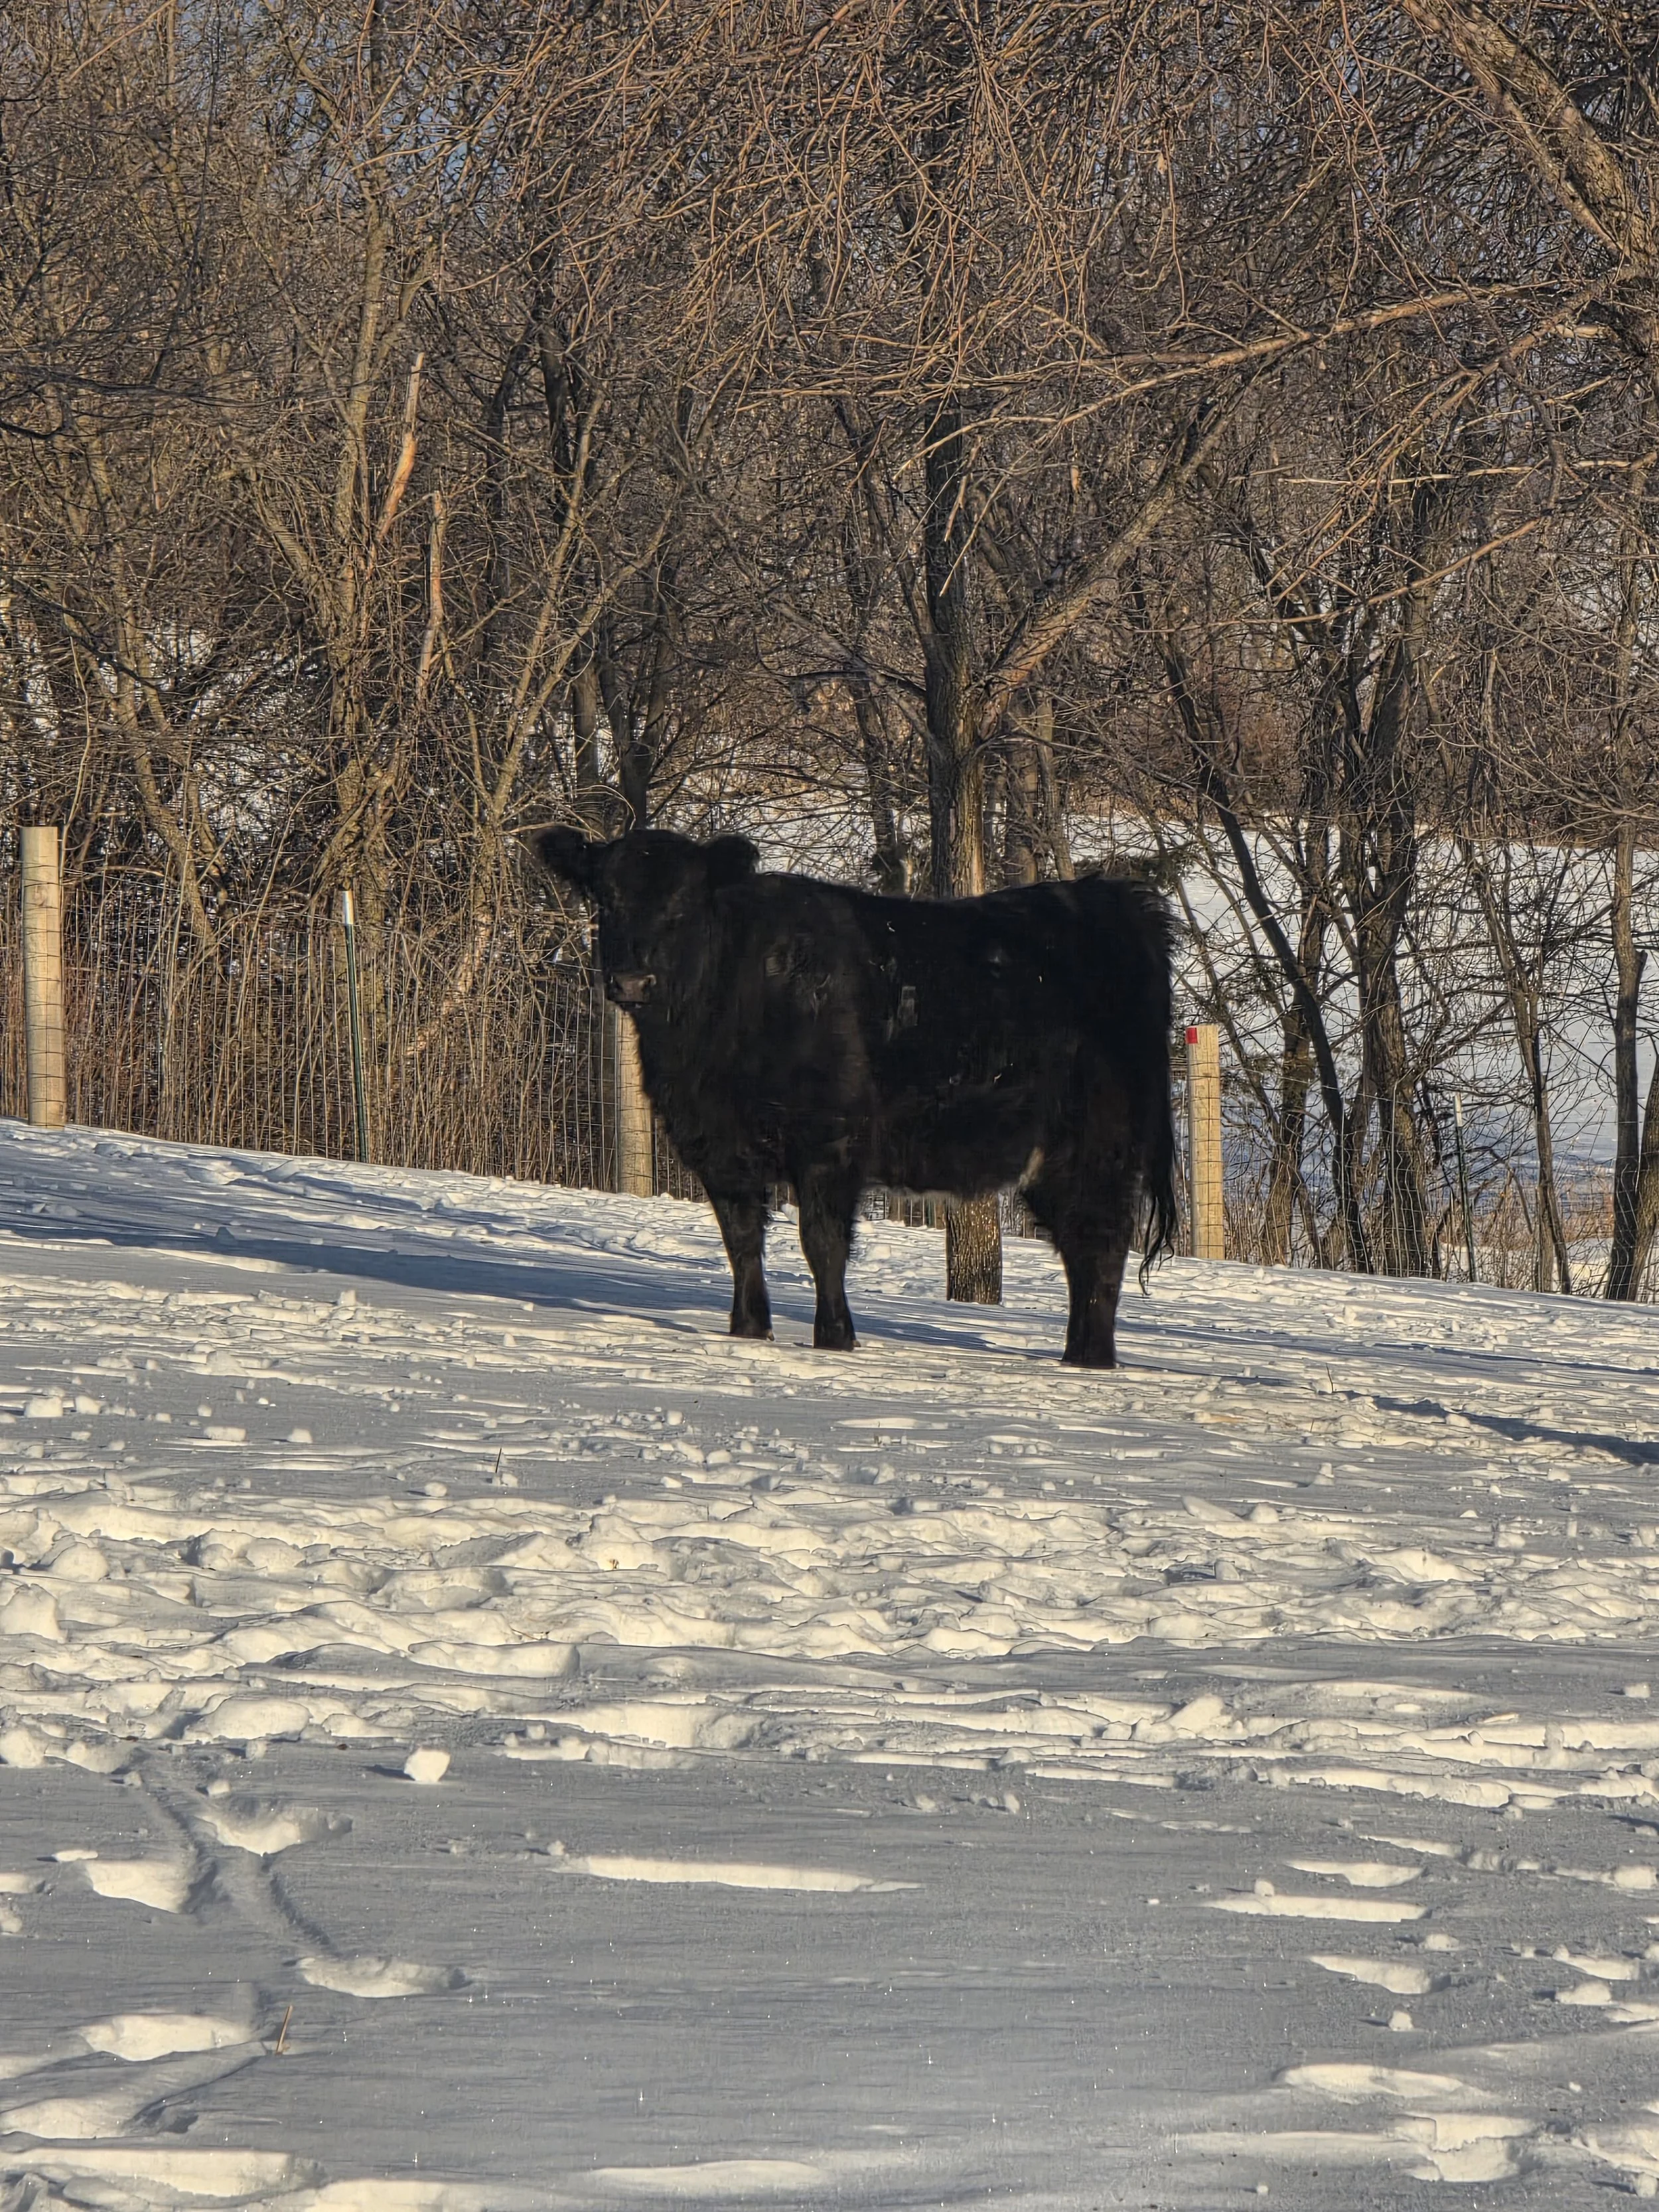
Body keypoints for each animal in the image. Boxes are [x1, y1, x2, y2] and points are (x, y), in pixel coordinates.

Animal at [536, 827, 1178, 1367]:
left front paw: (835, 1337)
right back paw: (1077, 1354)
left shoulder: (829, 1140)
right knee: (1078, 1240)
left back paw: (1091, 1359)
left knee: (1099, 1239)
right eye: (606, 901)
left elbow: (822, 1242)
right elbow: (741, 1240)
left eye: (683, 905)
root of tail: (1115, 900)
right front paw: (748, 1330)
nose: (632, 980)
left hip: (1102, 1140)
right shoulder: (717, 1146)